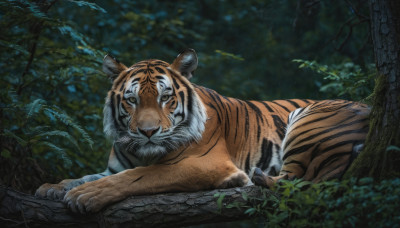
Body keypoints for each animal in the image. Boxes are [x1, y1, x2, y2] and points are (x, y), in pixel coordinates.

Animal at [35, 48, 368, 214]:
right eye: (131, 100)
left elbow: (140, 176)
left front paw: (85, 196)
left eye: (165, 97)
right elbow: (87, 175)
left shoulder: (208, 163)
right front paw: (52, 187)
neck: (143, 152)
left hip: (307, 117)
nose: (148, 132)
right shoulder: (112, 167)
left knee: (295, 181)